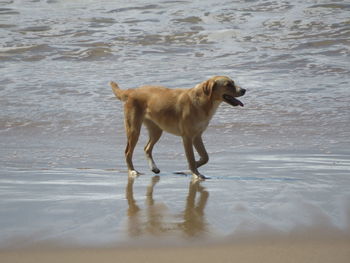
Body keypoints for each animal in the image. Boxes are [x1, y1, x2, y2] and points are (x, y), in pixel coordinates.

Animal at [110, 76, 246, 179]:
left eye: (233, 83)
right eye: (228, 84)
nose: (244, 90)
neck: (204, 102)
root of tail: (132, 91)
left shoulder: (197, 136)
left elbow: (205, 157)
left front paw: (186, 170)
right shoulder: (187, 137)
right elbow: (191, 158)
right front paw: (195, 174)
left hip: (157, 130)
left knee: (147, 148)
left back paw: (154, 168)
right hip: (134, 129)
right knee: (128, 151)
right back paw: (132, 171)